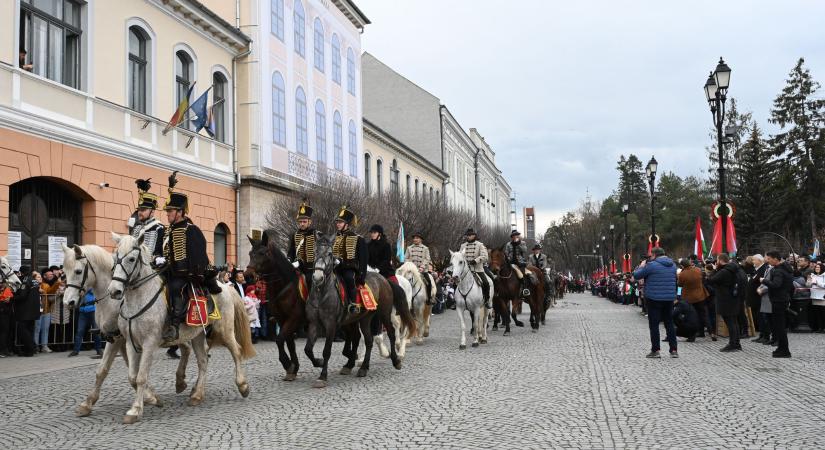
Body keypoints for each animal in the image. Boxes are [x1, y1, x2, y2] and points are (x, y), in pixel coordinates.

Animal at [107, 234, 254, 424]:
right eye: (114, 257)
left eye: (131, 259)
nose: (114, 291)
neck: (139, 299)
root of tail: (226, 287)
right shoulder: (131, 343)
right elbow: (132, 376)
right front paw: (151, 400)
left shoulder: (149, 343)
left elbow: (140, 377)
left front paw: (136, 410)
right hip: (198, 334)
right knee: (203, 360)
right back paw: (197, 395)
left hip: (225, 330)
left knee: (236, 351)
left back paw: (242, 385)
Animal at [249, 230, 308, 382]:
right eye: (250, 253)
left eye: (262, 253)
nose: (249, 275)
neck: (284, 287)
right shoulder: (282, 319)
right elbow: (289, 343)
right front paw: (293, 368)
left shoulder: (293, 318)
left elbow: (280, 339)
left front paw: (288, 364)